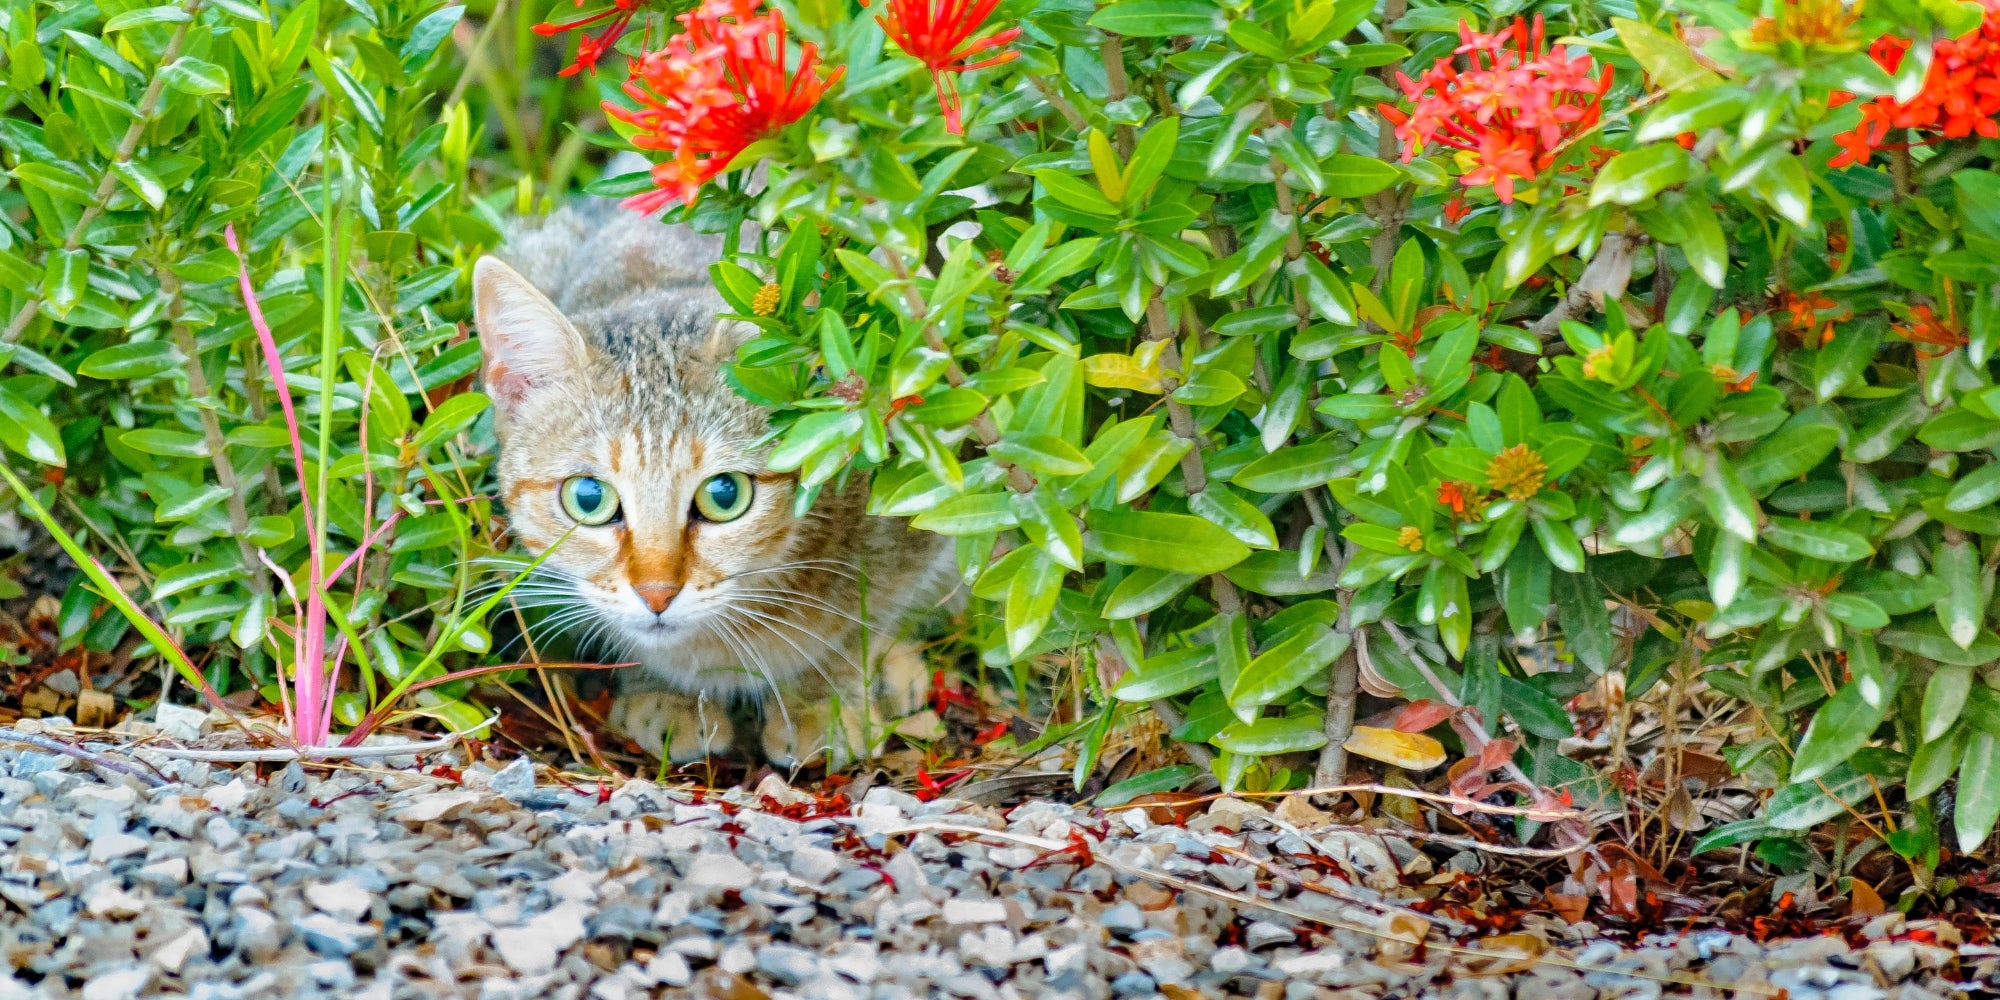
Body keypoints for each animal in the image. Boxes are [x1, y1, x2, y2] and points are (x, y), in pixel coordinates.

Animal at [476, 201, 960, 764]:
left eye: (725, 495)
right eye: (588, 498)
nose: (657, 595)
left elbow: (861, 624)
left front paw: (823, 701)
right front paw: (667, 693)